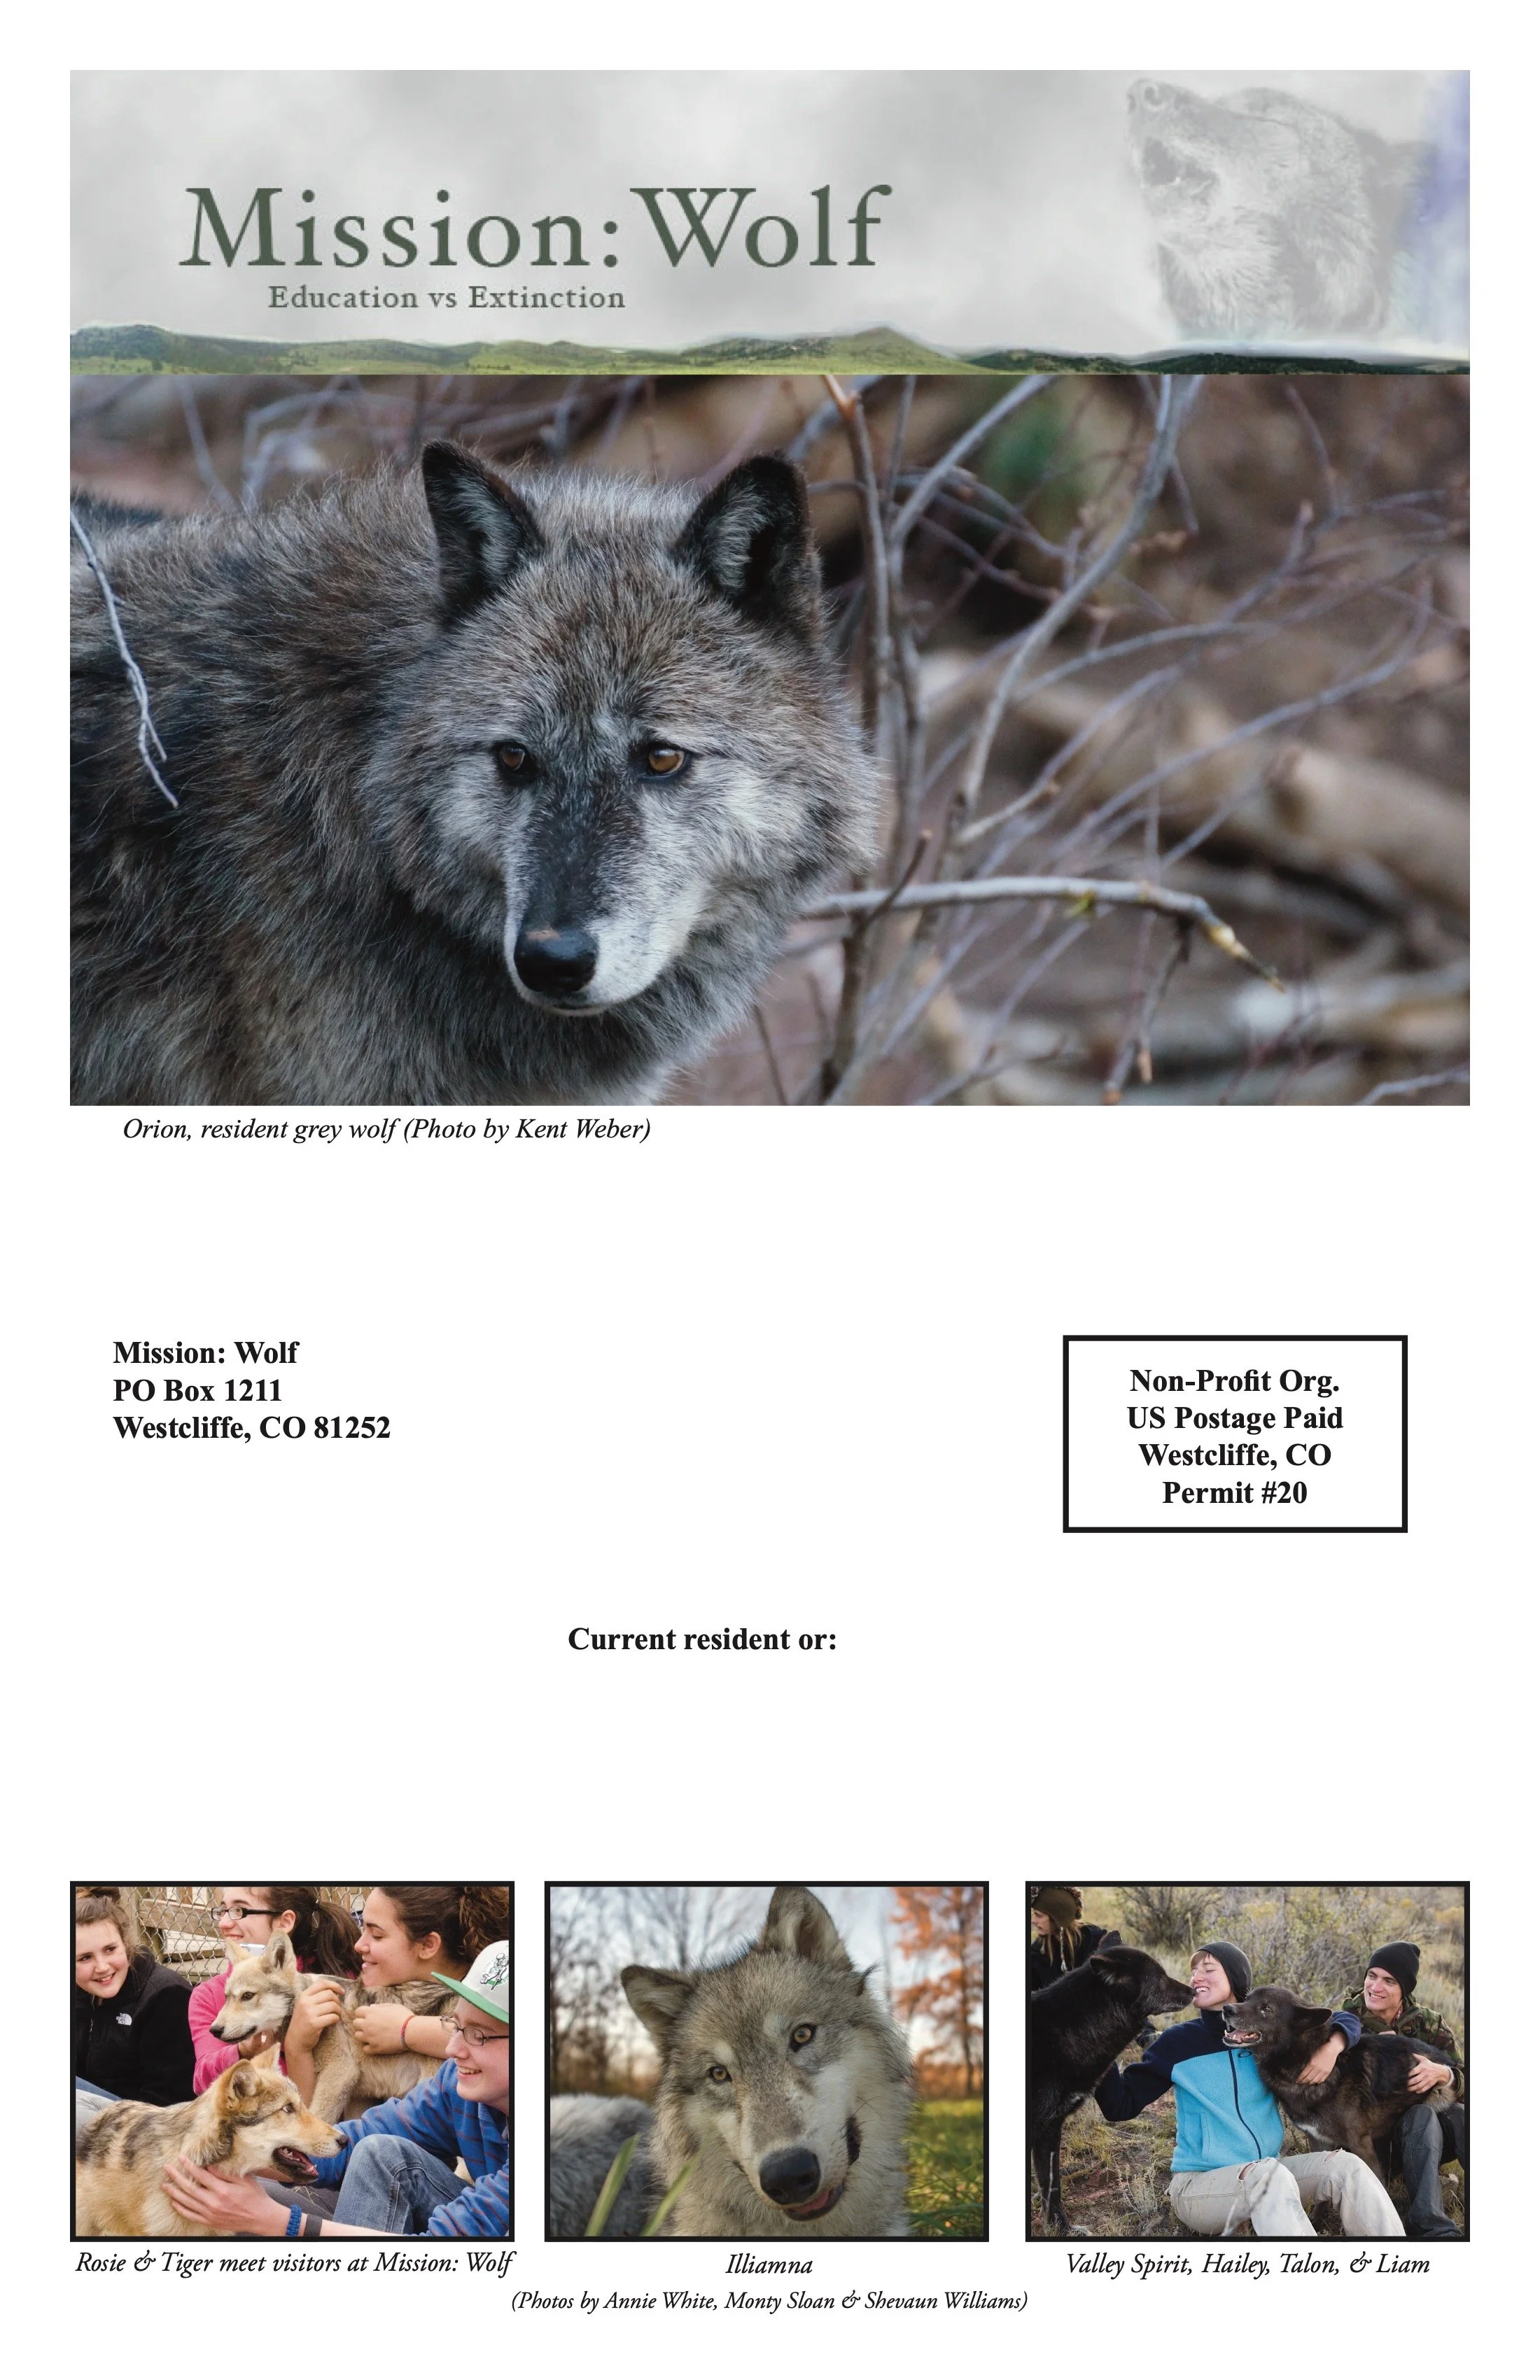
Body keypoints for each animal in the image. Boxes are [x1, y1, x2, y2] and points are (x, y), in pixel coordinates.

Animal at [211, 1932, 456, 2123]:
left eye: (248, 1996)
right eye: (226, 1997)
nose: (214, 2030)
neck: (303, 2002)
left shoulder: (340, 2073)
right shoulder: (358, 2097)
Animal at [1221, 1985, 1458, 2183]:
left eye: (1266, 2008)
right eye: (1247, 1999)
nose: (1227, 2009)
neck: (1303, 2058)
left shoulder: (1360, 2144)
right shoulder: (1319, 2142)